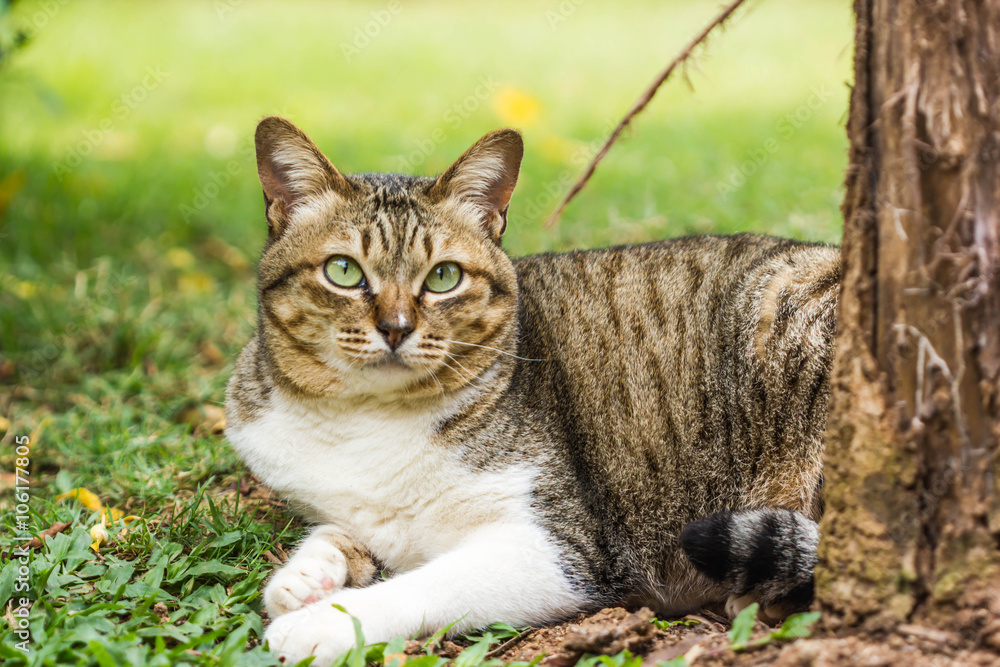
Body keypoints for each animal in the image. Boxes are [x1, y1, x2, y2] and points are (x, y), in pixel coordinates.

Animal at [225, 117, 836, 664]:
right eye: (344, 271)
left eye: (443, 277)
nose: (396, 328)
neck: (364, 420)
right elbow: (336, 532)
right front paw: (304, 579)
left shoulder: (561, 550)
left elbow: (427, 584)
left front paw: (317, 624)